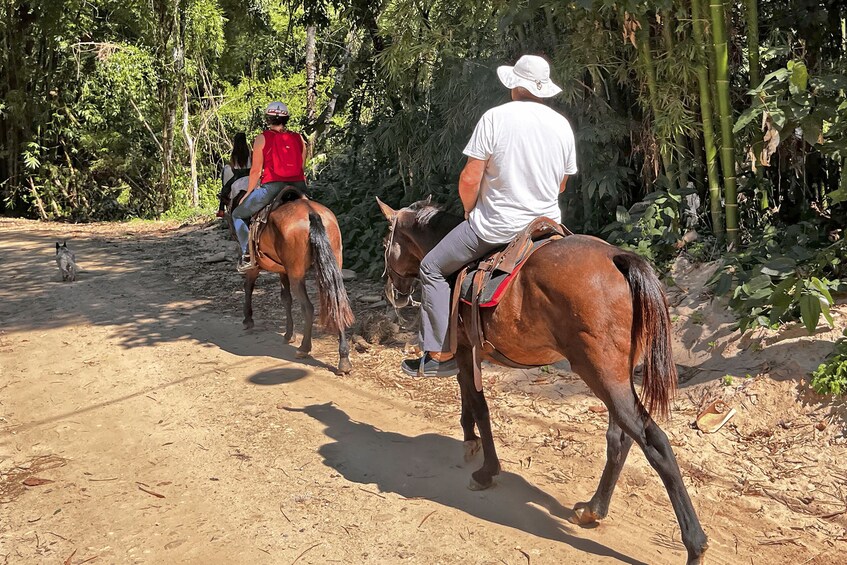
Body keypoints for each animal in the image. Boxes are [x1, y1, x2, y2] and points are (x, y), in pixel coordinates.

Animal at [242, 194, 354, 374]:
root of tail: (312, 213)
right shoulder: (283, 269)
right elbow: (286, 298)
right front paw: (289, 334)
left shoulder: (255, 264)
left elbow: (249, 286)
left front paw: (248, 319)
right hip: (331, 265)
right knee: (337, 304)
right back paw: (343, 359)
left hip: (297, 275)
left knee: (308, 307)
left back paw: (304, 348)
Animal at [378, 198, 708, 564]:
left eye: (386, 243)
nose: (393, 292)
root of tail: (618, 259)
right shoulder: (469, 352)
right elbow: (468, 396)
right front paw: (469, 442)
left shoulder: (465, 349)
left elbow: (479, 406)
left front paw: (486, 469)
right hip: (615, 377)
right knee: (620, 439)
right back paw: (593, 509)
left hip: (600, 374)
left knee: (655, 443)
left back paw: (694, 545)